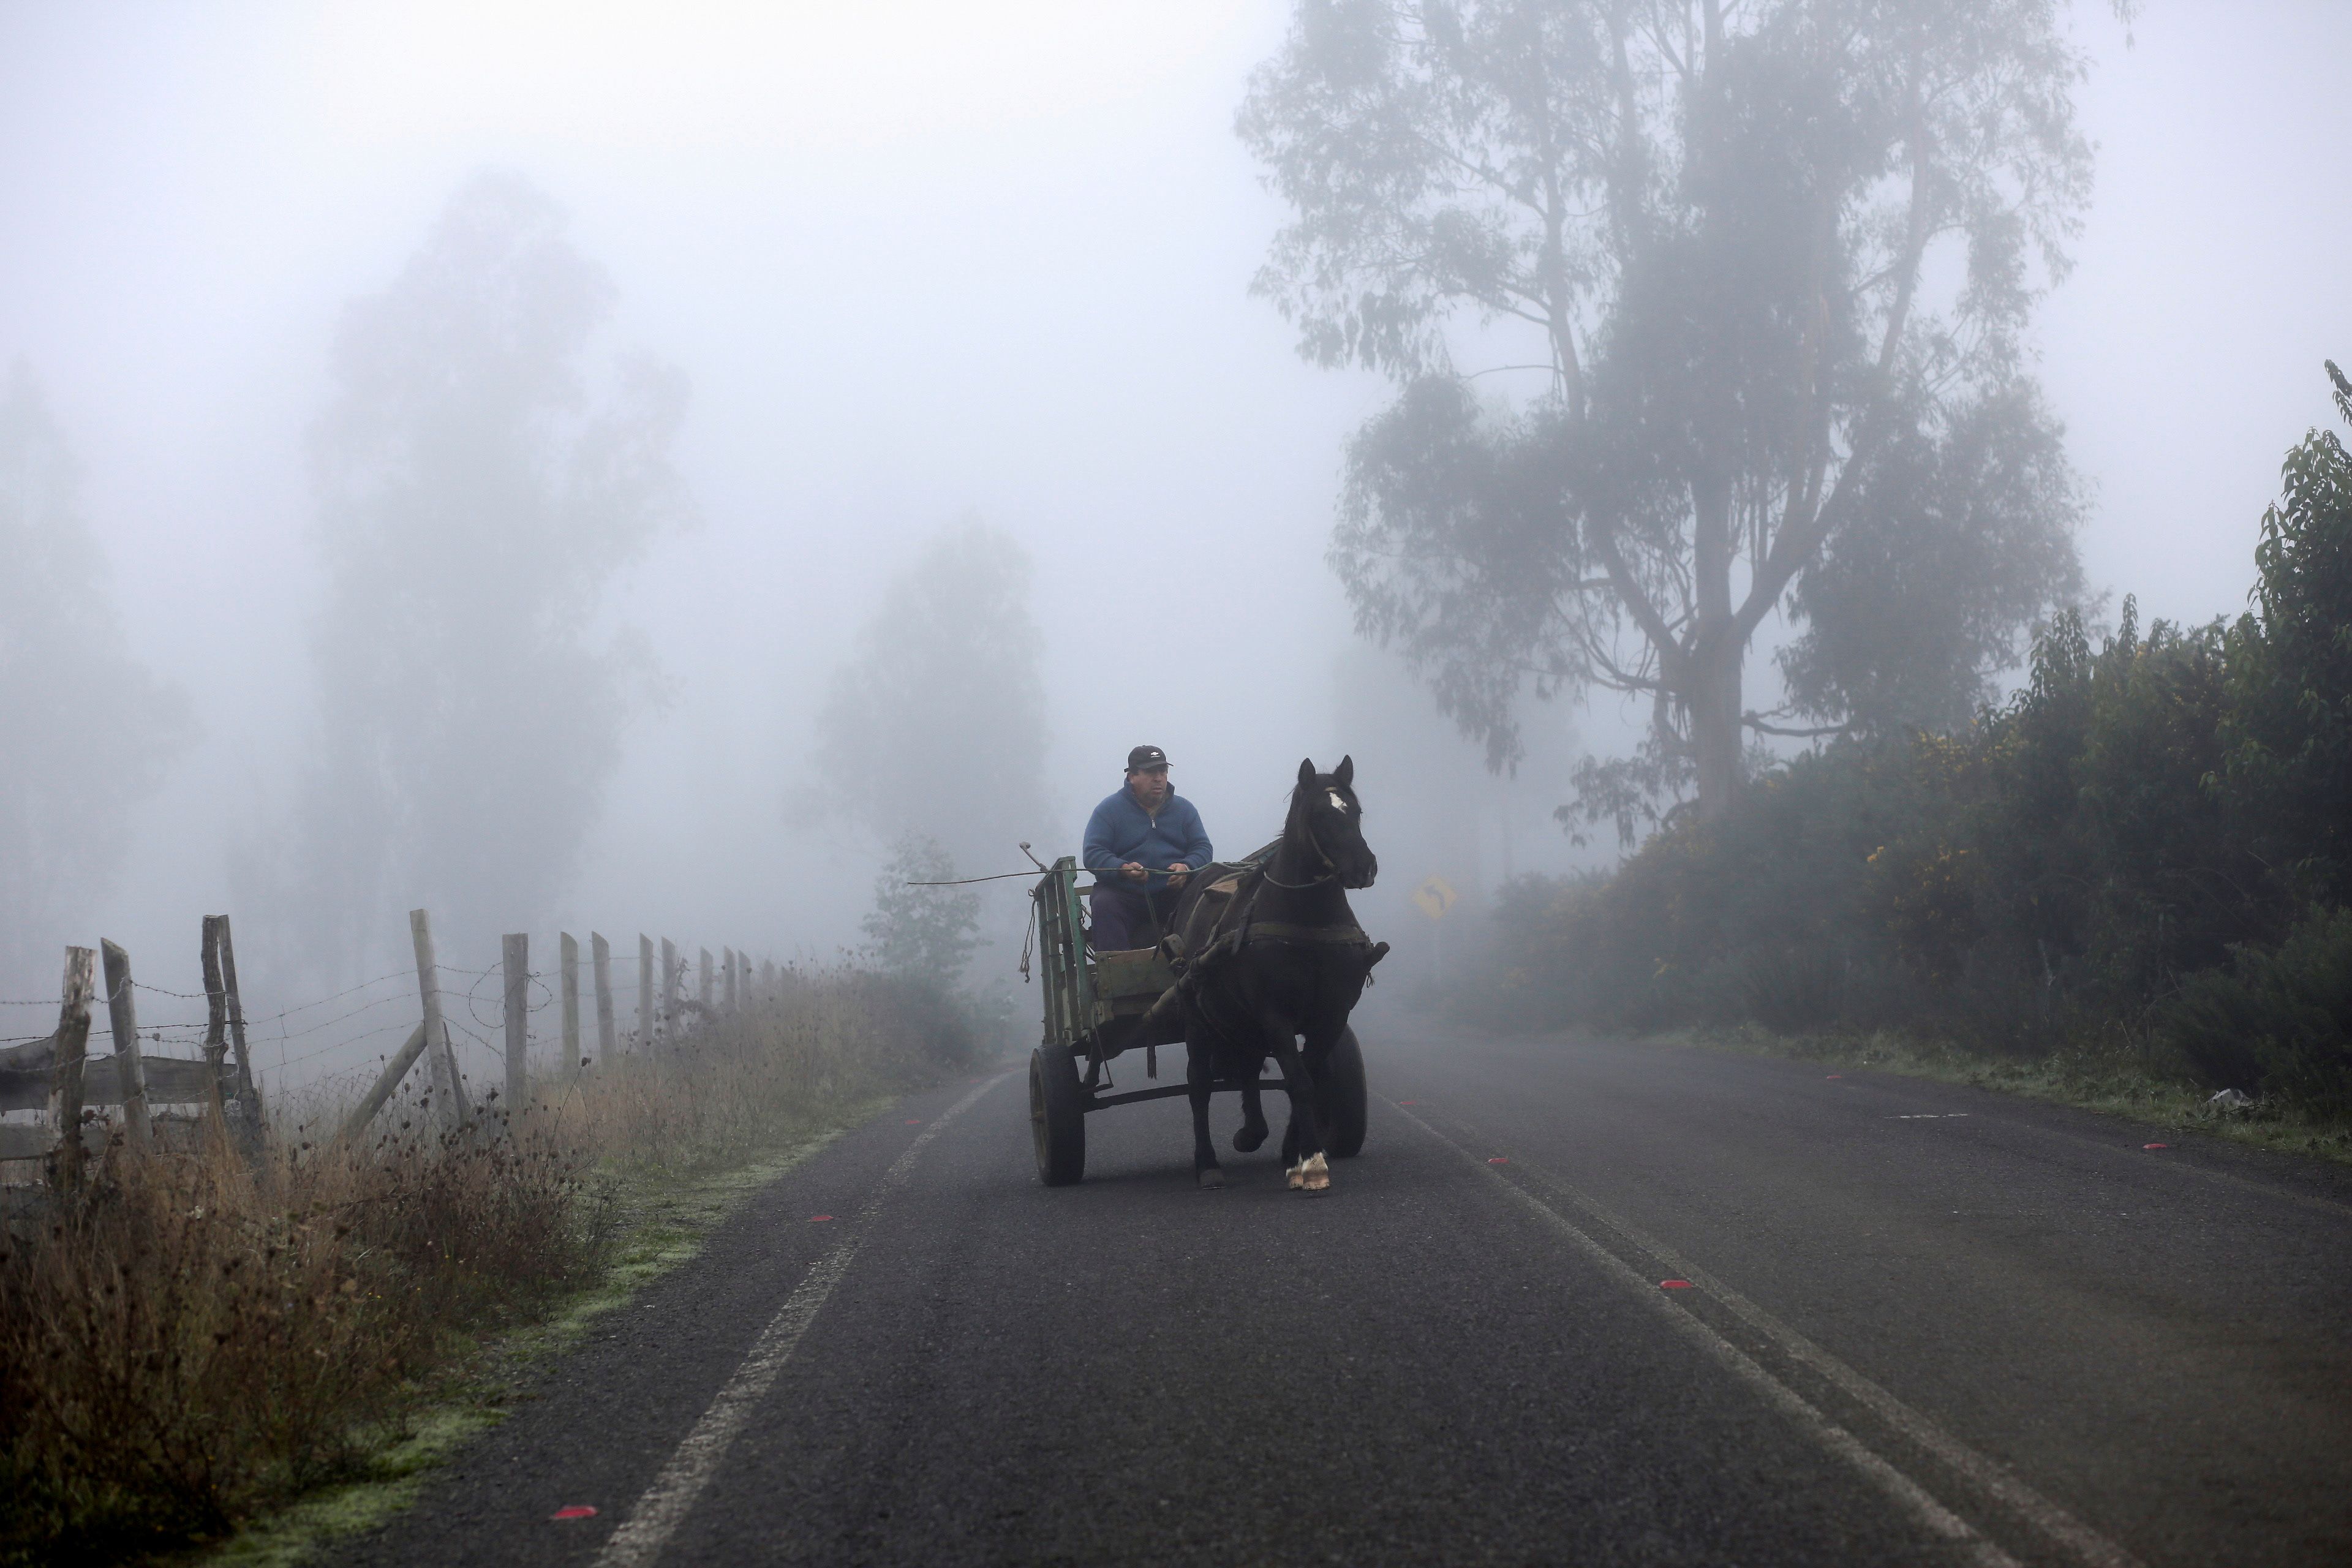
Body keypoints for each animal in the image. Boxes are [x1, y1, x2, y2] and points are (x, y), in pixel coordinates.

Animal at [1152, 756, 1373, 1189]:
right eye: (1319, 816)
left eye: (1355, 811)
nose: (1364, 867)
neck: (1308, 924)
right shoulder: (1275, 1014)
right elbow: (1299, 1080)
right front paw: (1312, 1164)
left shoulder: (1333, 1014)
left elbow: (1308, 1076)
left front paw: (1296, 1151)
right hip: (1198, 1017)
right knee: (1199, 1086)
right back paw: (1208, 1163)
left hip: (1241, 1020)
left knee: (1249, 1068)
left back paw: (1252, 1133)